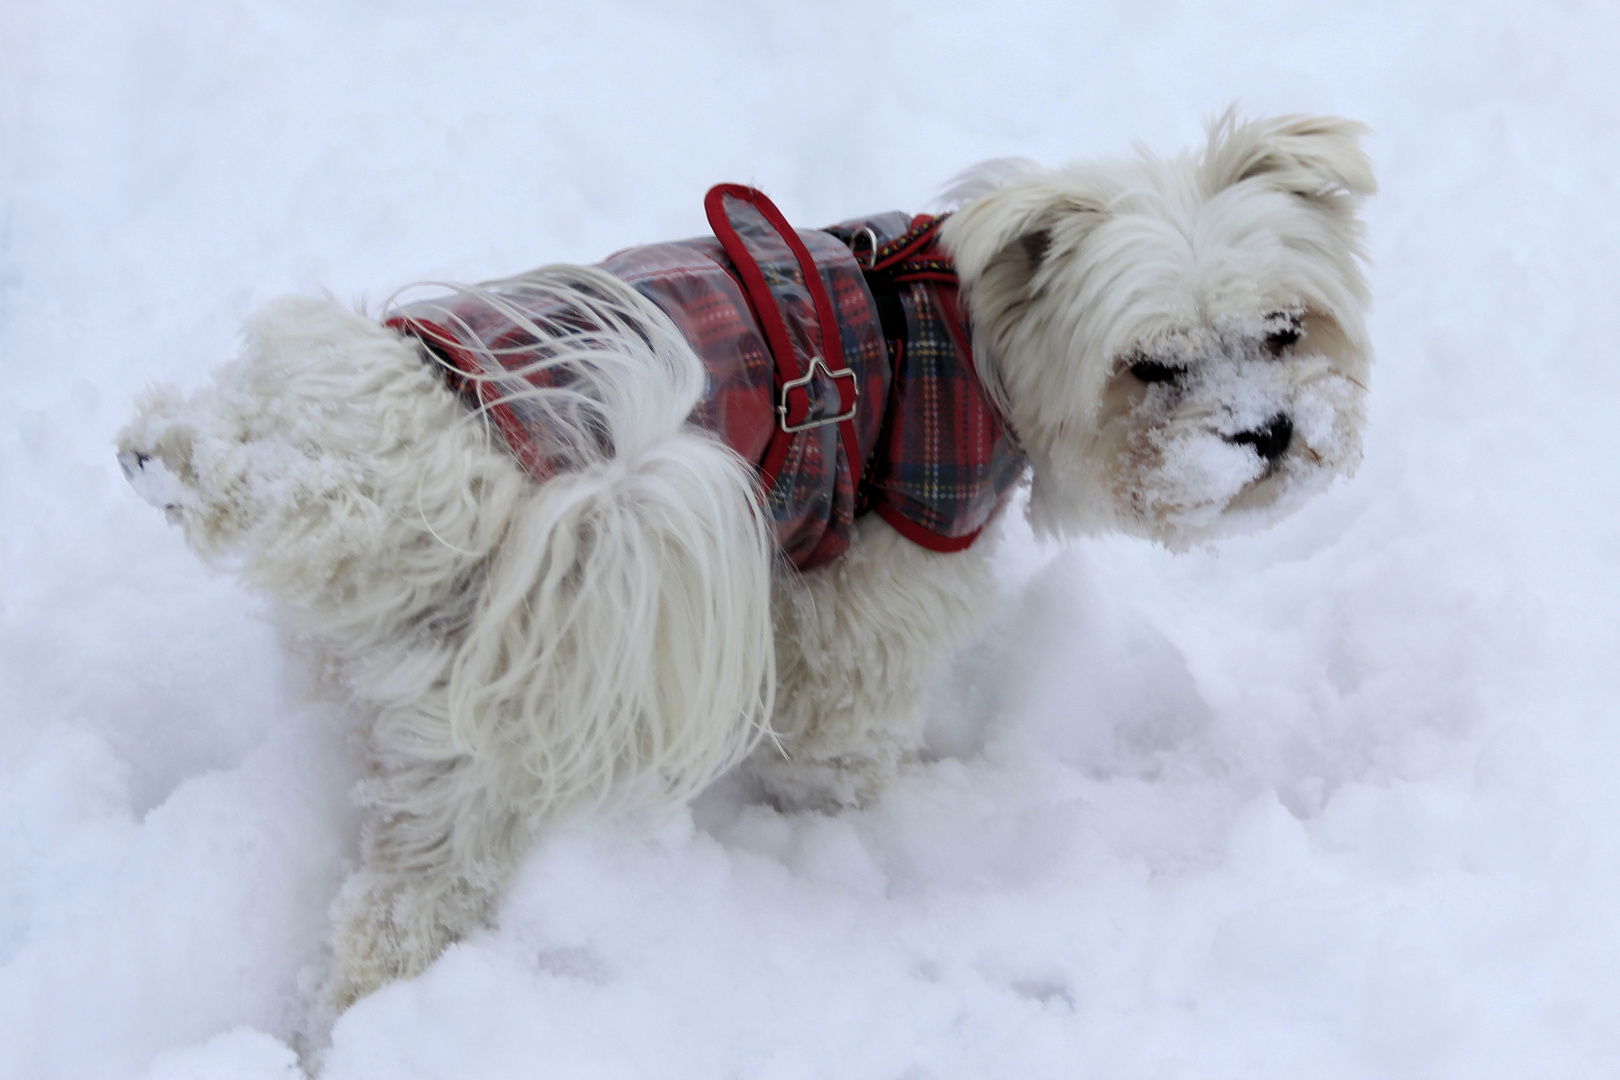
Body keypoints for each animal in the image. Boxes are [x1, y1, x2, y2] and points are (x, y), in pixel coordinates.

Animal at [119, 111, 1373, 1016]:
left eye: (1285, 330)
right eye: (1149, 367)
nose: (1269, 435)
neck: (969, 341)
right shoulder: (876, 589)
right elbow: (838, 743)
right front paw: (849, 820)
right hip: (510, 711)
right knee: (415, 906)